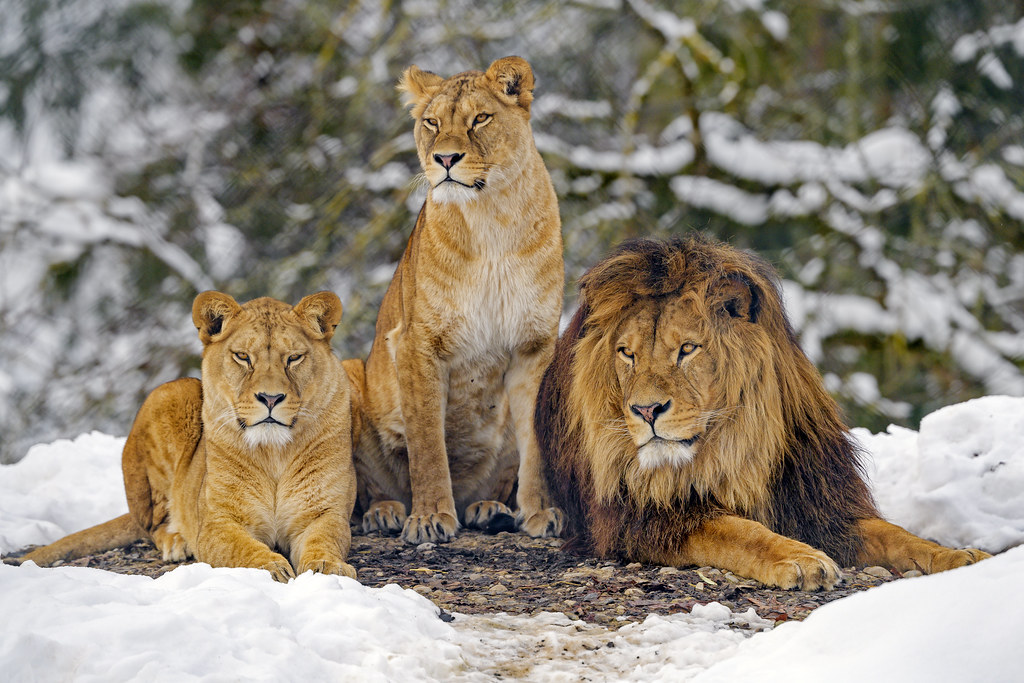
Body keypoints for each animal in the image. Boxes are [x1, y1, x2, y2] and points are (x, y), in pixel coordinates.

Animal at [8, 290, 356, 581]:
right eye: (243, 356)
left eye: (294, 357)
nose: (270, 398)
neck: (273, 452)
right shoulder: (215, 522)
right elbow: (240, 549)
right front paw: (270, 565)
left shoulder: (326, 512)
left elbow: (325, 539)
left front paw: (328, 567)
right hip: (173, 395)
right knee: (152, 524)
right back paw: (177, 541)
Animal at [350, 54, 561, 544]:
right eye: (431, 122)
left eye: (479, 119)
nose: (444, 158)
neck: (492, 219)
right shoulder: (416, 344)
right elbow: (427, 443)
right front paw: (428, 518)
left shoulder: (535, 346)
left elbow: (537, 444)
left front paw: (542, 513)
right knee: (364, 488)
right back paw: (386, 513)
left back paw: (490, 510)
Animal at [540, 236, 987, 589]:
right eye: (626, 353)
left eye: (688, 349)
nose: (646, 409)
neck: (737, 448)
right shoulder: (643, 518)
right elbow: (736, 530)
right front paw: (801, 559)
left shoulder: (821, 504)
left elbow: (898, 535)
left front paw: (961, 556)